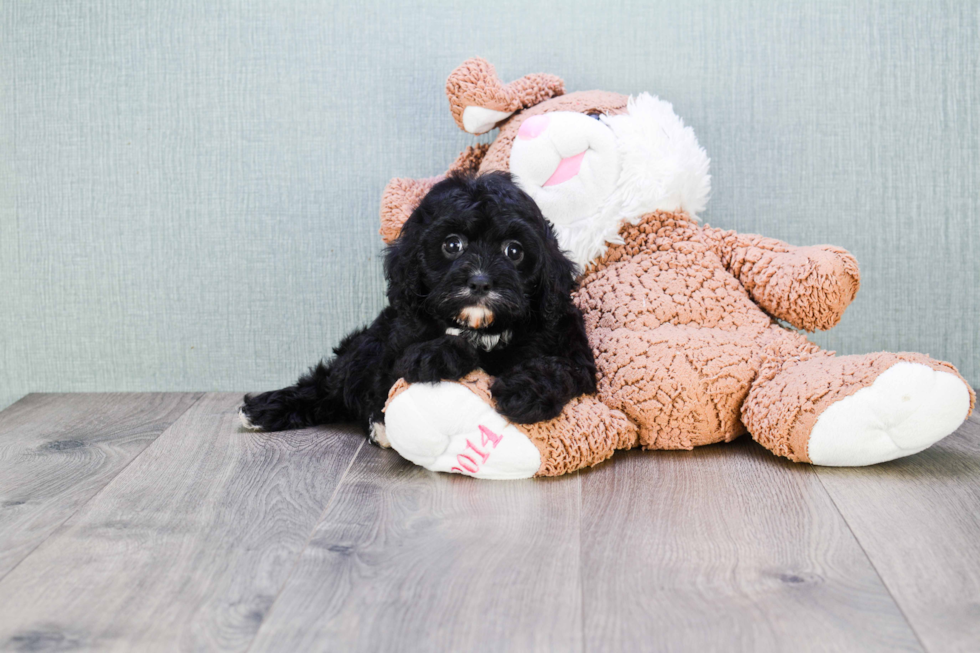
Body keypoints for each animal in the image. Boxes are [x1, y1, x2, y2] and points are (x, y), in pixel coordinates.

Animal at [243, 171, 596, 440]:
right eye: (452, 245)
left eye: (514, 251)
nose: (481, 282)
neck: (483, 329)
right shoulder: (396, 344)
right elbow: (402, 363)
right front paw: (438, 354)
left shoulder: (570, 348)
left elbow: (560, 368)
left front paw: (524, 392)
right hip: (367, 345)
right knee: (332, 385)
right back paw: (267, 409)